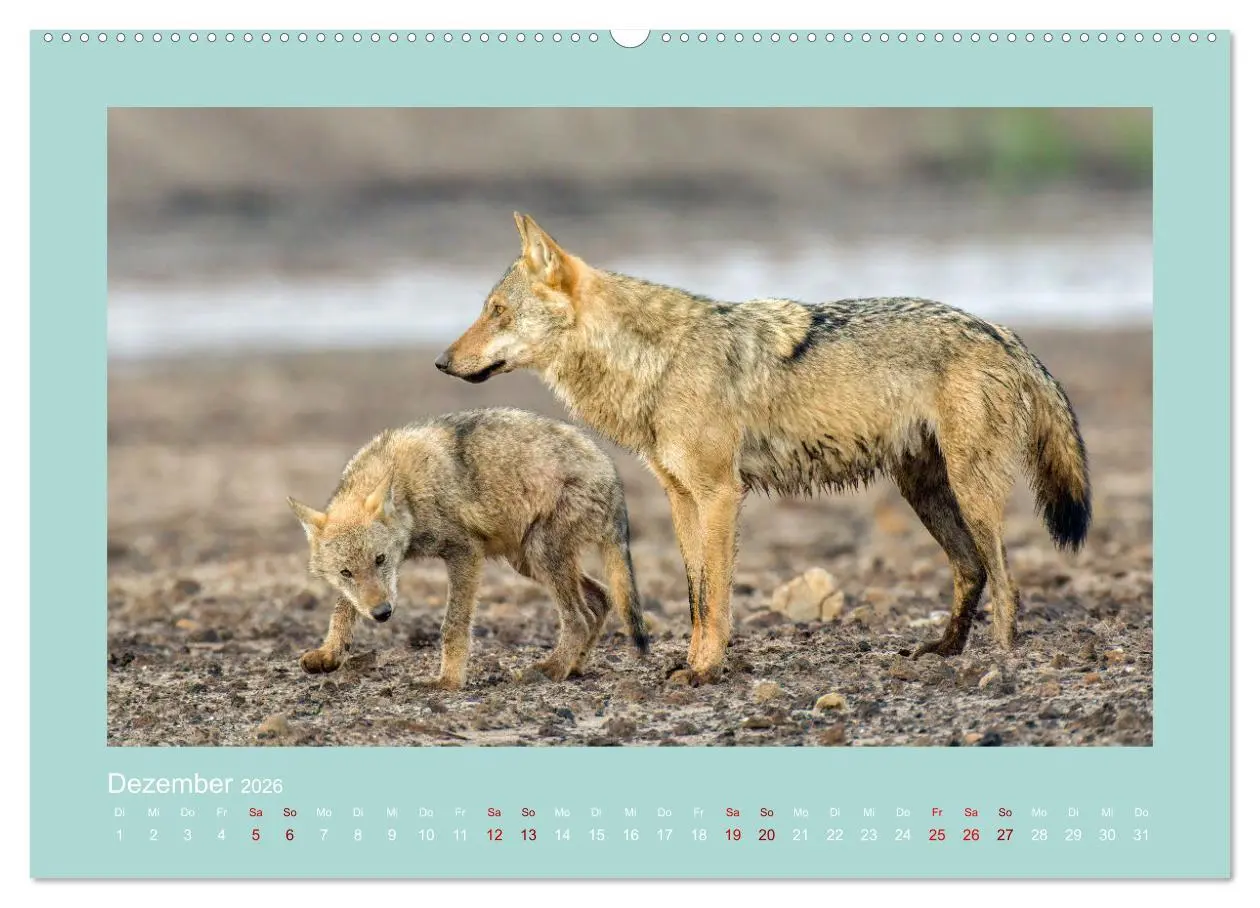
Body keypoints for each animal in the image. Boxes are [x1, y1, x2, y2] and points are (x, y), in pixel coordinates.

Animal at [286, 407, 650, 690]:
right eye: (346, 572)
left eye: (380, 559)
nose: (383, 614)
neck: (406, 487)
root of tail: (611, 474)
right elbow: (342, 608)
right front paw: (329, 654)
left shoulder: (465, 553)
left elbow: (454, 624)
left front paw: (448, 681)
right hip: (528, 562)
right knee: (601, 599)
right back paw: (573, 667)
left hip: (540, 556)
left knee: (579, 617)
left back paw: (551, 670)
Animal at [435, 213, 1091, 684]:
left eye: (496, 312)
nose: (441, 362)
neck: (653, 362)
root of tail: (1004, 333)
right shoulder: (682, 499)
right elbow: (696, 595)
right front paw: (692, 664)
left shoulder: (721, 494)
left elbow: (716, 598)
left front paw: (707, 670)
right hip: (925, 492)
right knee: (972, 569)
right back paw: (945, 650)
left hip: (970, 491)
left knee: (1005, 581)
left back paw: (999, 659)